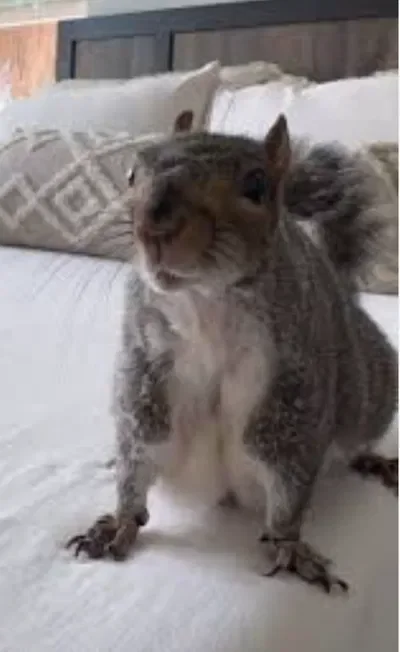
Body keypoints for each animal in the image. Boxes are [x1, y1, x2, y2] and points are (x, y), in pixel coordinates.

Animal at [67, 115, 397, 593]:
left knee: (356, 438)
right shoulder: (145, 374)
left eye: (256, 186)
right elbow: (141, 449)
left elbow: (288, 479)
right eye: (131, 173)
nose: (153, 225)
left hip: (370, 393)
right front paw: (120, 521)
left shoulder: (293, 396)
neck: (204, 299)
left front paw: (289, 545)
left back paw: (372, 459)